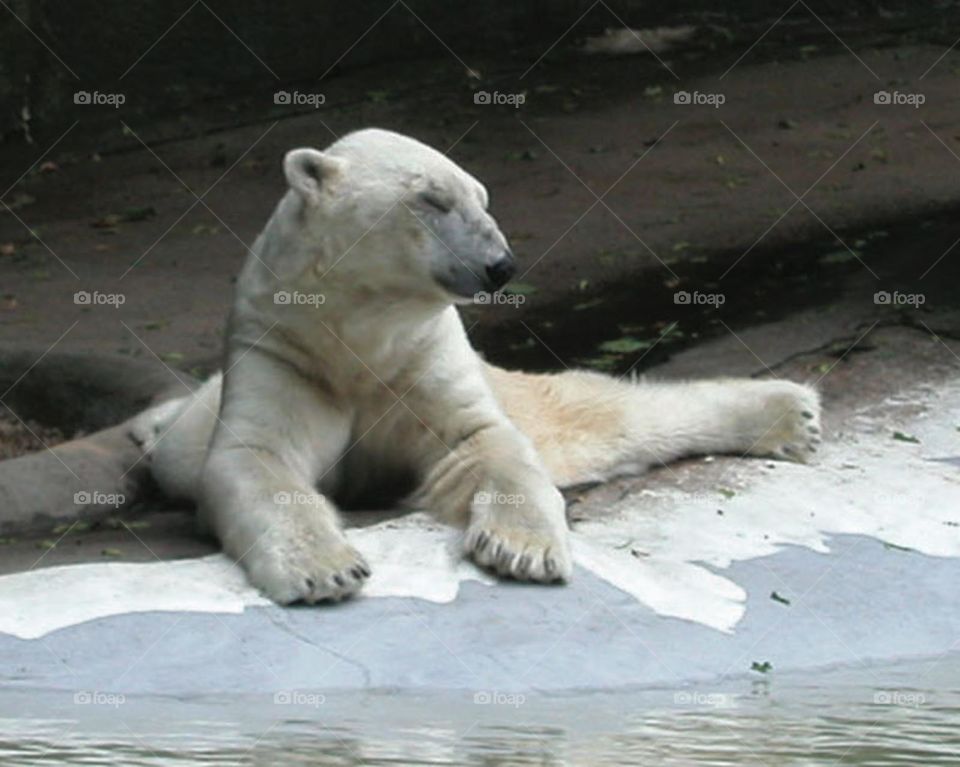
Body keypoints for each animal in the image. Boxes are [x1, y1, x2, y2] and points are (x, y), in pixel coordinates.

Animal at [137, 128, 821, 604]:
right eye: (432, 198)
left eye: (481, 197)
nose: (501, 265)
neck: (362, 333)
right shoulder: (282, 347)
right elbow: (257, 457)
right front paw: (325, 570)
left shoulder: (423, 355)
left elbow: (484, 440)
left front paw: (522, 550)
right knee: (177, 450)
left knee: (596, 417)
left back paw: (792, 415)